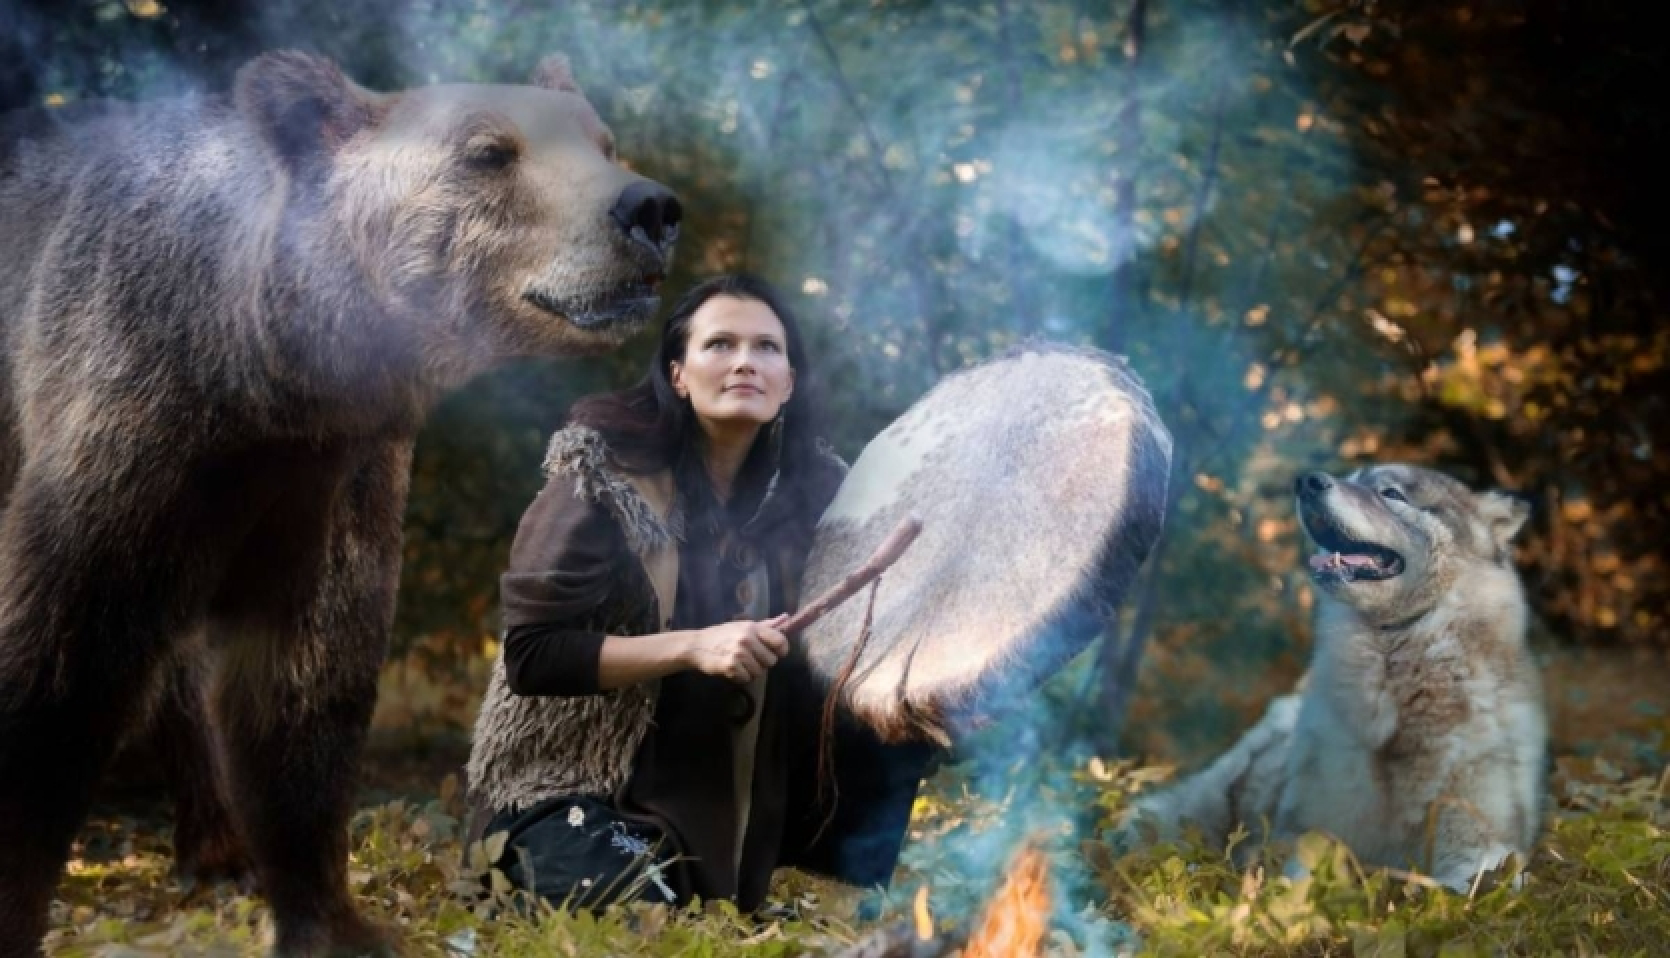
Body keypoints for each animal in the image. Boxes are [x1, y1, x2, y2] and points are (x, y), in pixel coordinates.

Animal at [1, 52, 678, 958]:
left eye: (603, 141)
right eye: (490, 151)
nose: (649, 208)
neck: (262, 377)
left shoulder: (333, 475)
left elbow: (305, 682)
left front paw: (328, 915)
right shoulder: (129, 420)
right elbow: (57, 666)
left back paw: (221, 851)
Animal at [1115, 467, 1543, 894]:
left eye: (1391, 493)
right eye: (1354, 476)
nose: (1308, 481)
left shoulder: (1479, 848)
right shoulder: (1308, 835)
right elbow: (1299, 882)